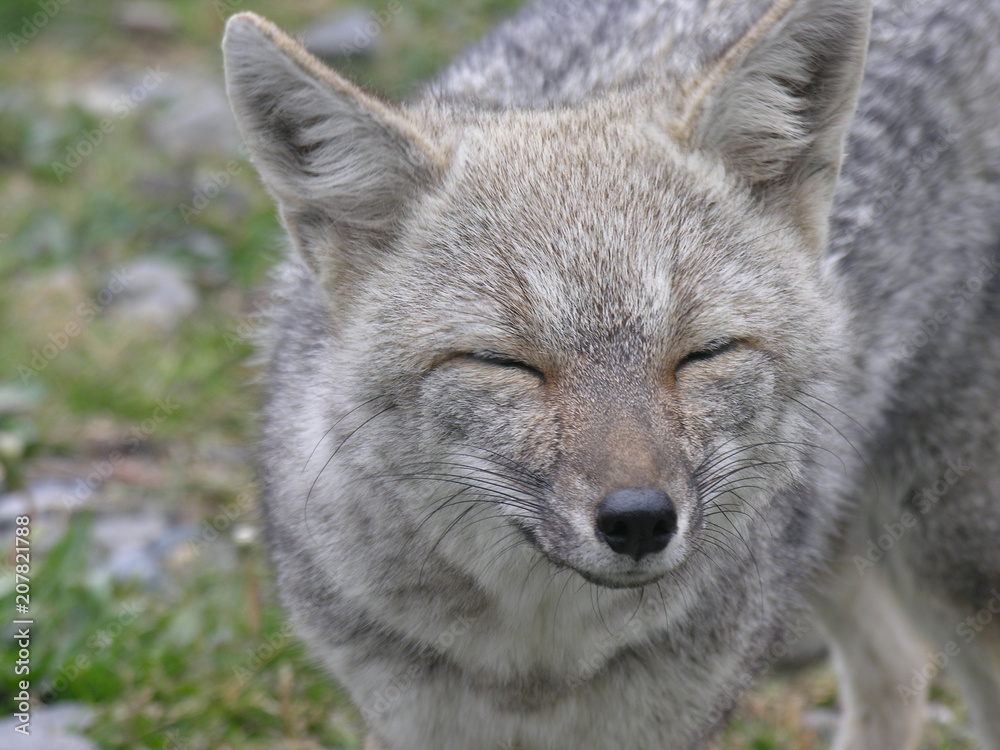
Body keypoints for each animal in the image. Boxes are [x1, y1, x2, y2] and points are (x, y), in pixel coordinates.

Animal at [221, 0, 1000, 748]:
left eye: (702, 353)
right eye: (507, 363)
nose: (639, 521)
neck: (538, 668)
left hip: (948, 564)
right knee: (896, 668)